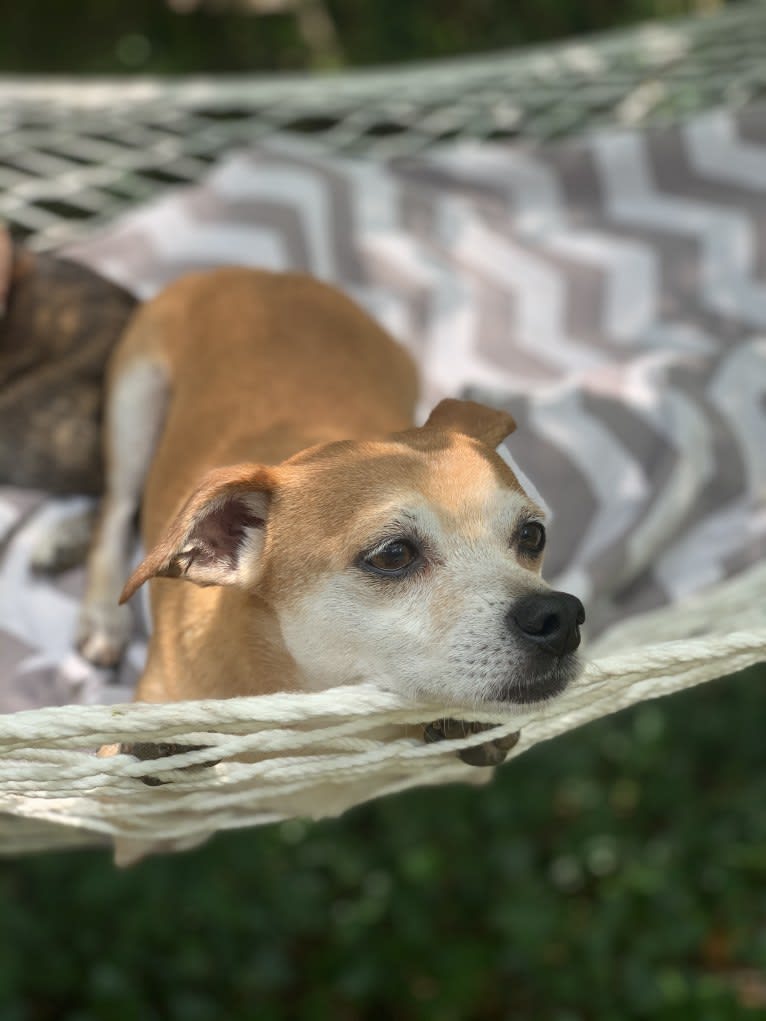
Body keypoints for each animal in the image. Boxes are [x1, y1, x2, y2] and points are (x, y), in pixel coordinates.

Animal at [78, 267, 584, 751]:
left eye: (532, 534)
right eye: (393, 555)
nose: (559, 615)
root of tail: (263, 275)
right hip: (133, 407)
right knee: (115, 508)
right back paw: (104, 618)